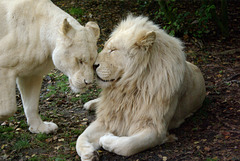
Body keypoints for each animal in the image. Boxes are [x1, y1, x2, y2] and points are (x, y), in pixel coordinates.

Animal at [0, 0, 99, 134]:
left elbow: (31, 104)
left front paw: (39, 128)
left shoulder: (32, 73)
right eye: (80, 61)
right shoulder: (4, 68)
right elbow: (8, 109)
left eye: (93, 62)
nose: (88, 83)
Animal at [77, 14, 206, 160]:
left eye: (113, 50)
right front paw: (88, 153)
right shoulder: (109, 118)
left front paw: (106, 138)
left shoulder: (155, 128)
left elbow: (128, 145)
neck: (129, 88)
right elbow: (81, 137)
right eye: (104, 47)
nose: (93, 65)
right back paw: (90, 104)